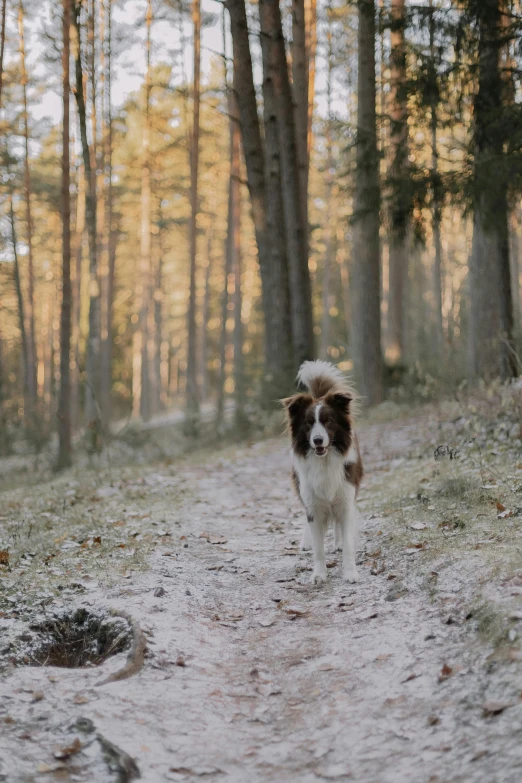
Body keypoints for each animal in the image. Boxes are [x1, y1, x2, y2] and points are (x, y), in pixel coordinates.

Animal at [280, 362, 362, 580]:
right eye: (309, 423)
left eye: (328, 421)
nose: (317, 440)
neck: (324, 460)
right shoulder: (313, 503)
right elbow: (318, 547)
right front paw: (318, 574)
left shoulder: (345, 498)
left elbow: (348, 541)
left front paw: (350, 573)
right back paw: (306, 541)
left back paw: (338, 543)